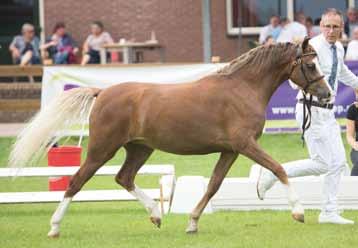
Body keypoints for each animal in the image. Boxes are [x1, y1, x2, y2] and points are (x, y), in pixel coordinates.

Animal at [10, 37, 330, 237]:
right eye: (310, 65)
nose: (327, 94)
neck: (243, 88)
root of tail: (102, 93)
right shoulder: (245, 144)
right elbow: (278, 168)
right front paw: (299, 212)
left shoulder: (230, 150)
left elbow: (213, 185)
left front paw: (192, 223)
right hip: (102, 149)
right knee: (76, 182)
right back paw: (54, 227)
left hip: (139, 149)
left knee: (124, 178)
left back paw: (156, 214)